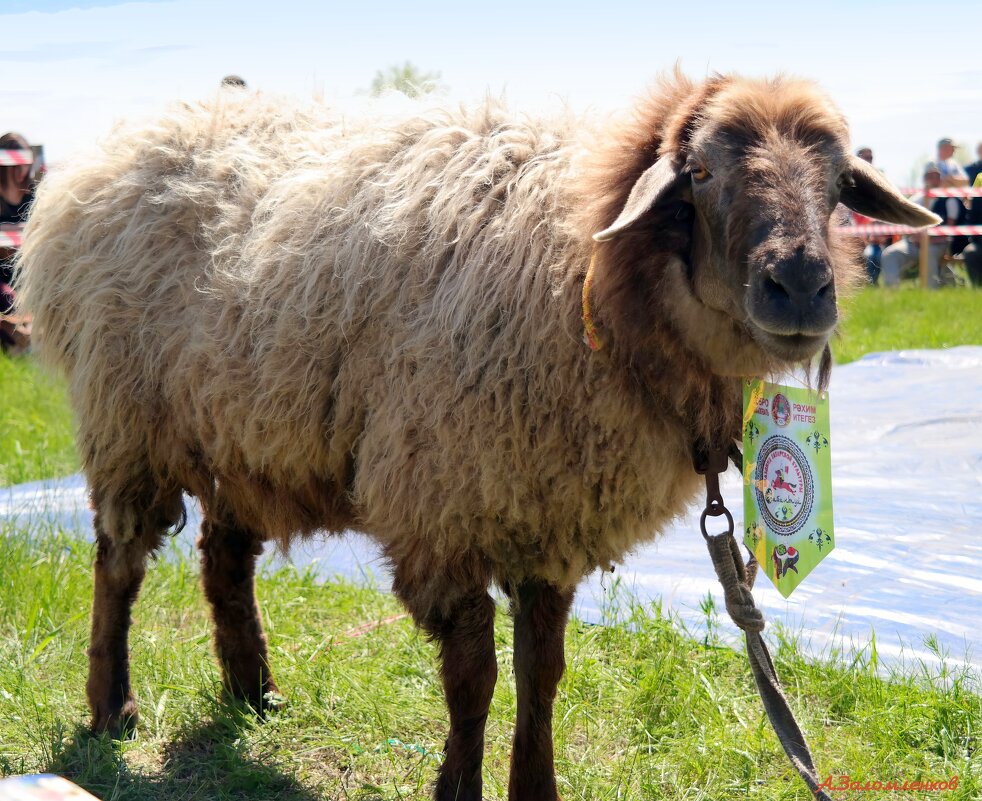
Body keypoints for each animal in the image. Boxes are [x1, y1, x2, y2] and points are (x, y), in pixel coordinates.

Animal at [17, 72, 936, 796]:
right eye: (701, 170)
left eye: (837, 182)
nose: (802, 285)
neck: (586, 279)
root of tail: (110, 150)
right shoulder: (447, 507)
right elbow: (474, 678)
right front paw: (458, 786)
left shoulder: (549, 516)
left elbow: (542, 675)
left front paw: (536, 788)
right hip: (129, 419)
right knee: (119, 561)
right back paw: (111, 705)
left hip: (242, 426)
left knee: (223, 559)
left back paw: (253, 690)